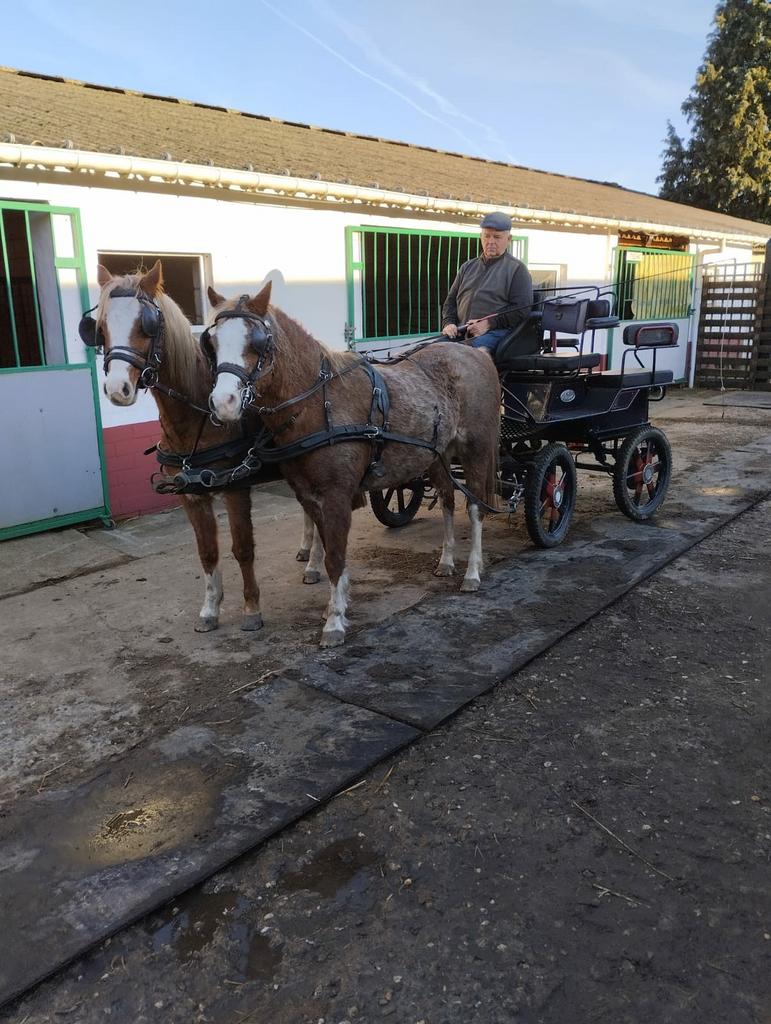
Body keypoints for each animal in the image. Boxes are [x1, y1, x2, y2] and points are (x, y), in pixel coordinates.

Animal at [86, 261, 324, 633]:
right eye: (102, 326)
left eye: (147, 324)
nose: (117, 388)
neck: (195, 415)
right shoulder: (192, 495)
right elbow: (207, 552)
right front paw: (210, 609)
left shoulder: (235, 489)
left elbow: (242, 548)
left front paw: (251, 609)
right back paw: (307, 553)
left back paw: (315, 563)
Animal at [203, 280, 501, 647]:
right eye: (212, 342)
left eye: (257, 341)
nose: (223, 403)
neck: (319, 402)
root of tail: (476, 353)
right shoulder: (310, 496)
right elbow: (331, 549)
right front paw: (338, 603)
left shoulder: (336, 495)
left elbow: (334, 557)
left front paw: (334, 622)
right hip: (438, 457)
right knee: (446, 500)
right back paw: (446, 561)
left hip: (476, 452)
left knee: (475, 508)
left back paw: (472, 572)